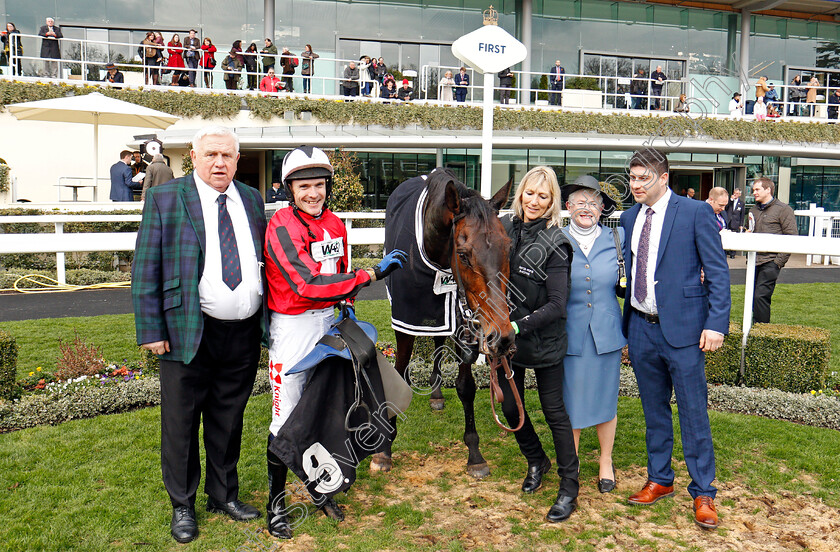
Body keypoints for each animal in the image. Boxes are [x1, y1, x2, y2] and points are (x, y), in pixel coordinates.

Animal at [376, 168, 520, 478]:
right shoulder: (406, 320)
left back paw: (436, 392)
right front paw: (384, 448)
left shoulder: (465, 322)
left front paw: (475, 453)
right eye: (463, 254)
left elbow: (465, 386)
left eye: (509, 247)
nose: (503, 337)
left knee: (438, 340)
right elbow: (399, 368)